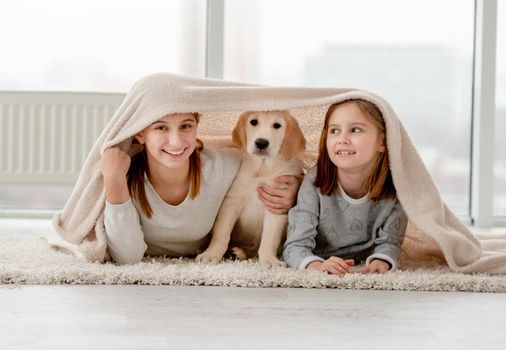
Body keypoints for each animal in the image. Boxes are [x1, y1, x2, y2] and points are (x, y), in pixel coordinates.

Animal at [195, 110, 304, 266]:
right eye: (253, 122)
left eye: (277, 125)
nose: (261, 143)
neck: (262, 169)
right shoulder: (231, 202)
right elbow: (221, 233)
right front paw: (211, 254)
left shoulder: (275, 207)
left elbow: (269, 238)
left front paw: (269, 260)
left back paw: (238, 252)